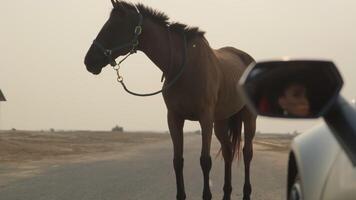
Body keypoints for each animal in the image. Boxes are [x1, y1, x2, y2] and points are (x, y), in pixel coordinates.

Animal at [83, 0, 256, 199]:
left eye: (112, 27)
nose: (89, 61)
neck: (183, 66)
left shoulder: (205, 119)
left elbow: (205, 161)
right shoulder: (174, 118)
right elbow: (177, 161)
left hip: (247, 118)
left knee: (247, 153)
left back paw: (247, 191)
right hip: (221, 121)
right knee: (228, 151)